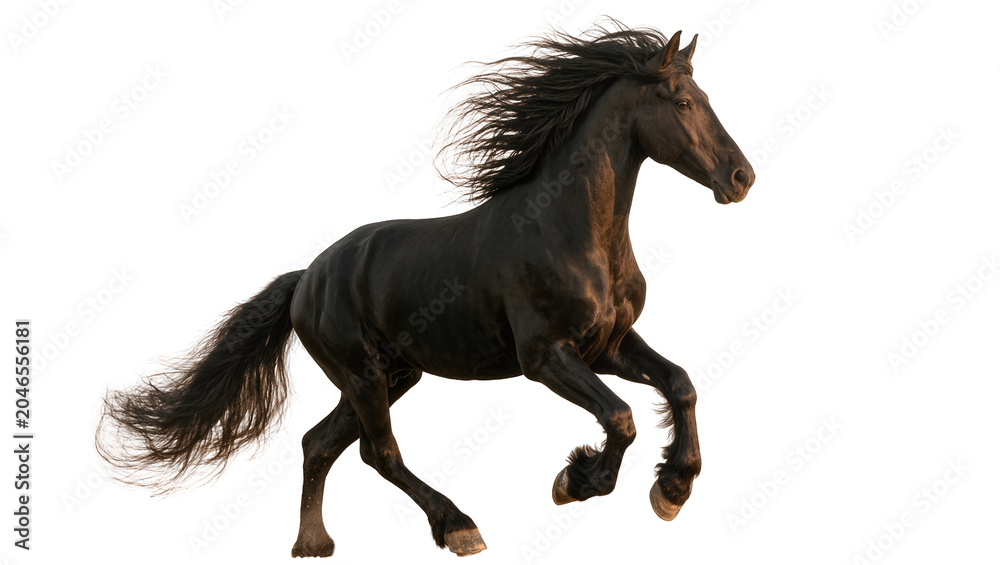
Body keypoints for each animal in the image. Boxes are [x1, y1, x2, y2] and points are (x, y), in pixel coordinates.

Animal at [97, 22, 754, 558]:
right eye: (683, 101)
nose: (742, 177)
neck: (567, 228)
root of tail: (307, 278)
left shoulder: (609, 345)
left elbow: (681, 384)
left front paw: (673, 488)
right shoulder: (545, 356)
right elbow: (620, 417)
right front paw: (576, 481)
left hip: (393, 374)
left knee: (319, 443)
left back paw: (313, 544)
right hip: (363, 373)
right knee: (376, 452)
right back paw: (459, 526)